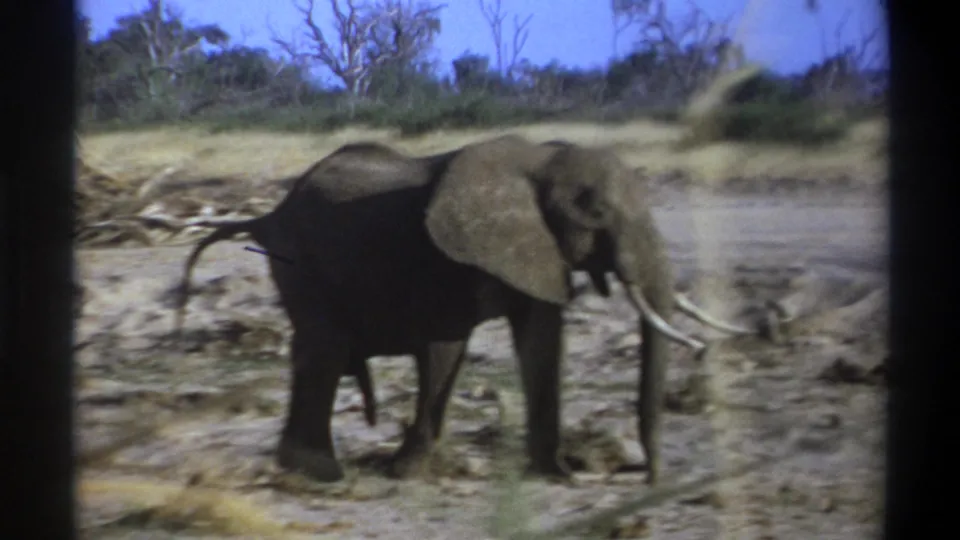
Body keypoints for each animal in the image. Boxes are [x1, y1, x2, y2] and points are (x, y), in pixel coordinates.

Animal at [175, 135, 754, 486]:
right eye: (594, 213)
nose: (648, 478)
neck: (542, 161)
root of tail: (266, 215)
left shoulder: (534, 249)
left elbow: (541, 339)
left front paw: (554, 474)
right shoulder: (449, 258)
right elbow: (446, 344)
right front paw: (407, 472)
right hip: (302, 261)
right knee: (324, 349)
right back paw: (320, 473)